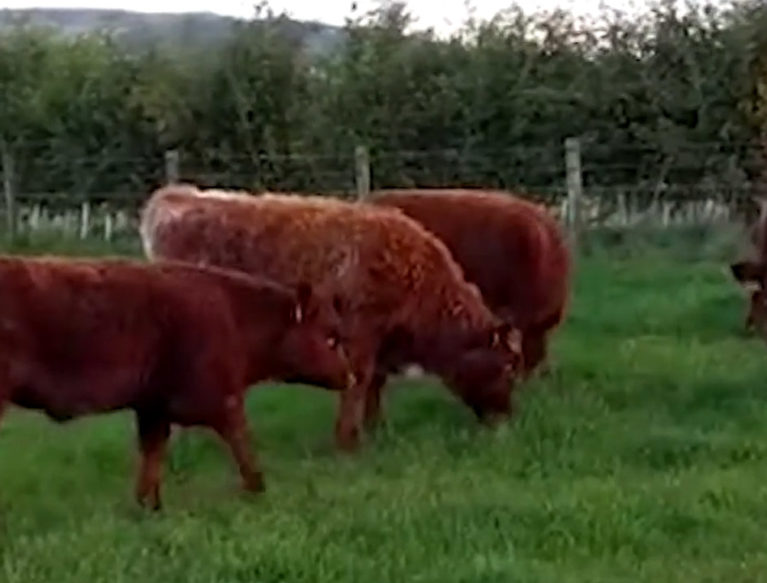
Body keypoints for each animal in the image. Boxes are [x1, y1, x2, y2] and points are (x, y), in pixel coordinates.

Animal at [0, 254, 354, 506]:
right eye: (331, 337)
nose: (350, 376)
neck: (234, 314)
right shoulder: (222, 399)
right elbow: (242, 442)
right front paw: (258, 490)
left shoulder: (153, 406)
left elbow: (153, 453)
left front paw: (148, 506)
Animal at [140, 186, 520, 452]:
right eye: (505, 367)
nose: (506, 420)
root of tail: (177, 196)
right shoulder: (361, 331)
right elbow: (359, 381)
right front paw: (349, 441)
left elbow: (373, 383)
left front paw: (375, 428)